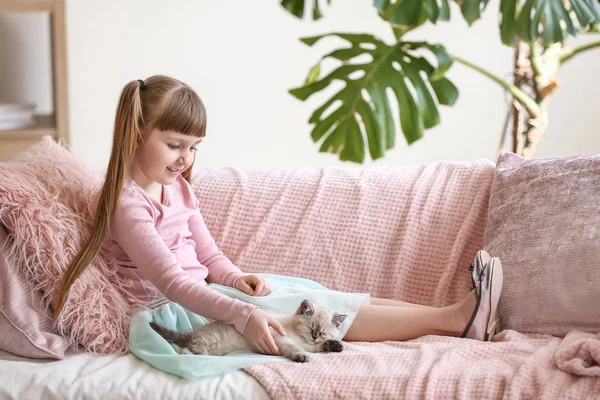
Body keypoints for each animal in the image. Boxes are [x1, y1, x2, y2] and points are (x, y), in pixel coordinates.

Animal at [149, 300, 346, 362]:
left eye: (322, 332)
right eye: (311, 329)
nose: (314, 336)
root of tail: (194, 332)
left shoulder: (310, 345)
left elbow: (318, 348)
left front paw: (334, 345)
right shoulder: (282, 340)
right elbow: (295, 349)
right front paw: (301, 357)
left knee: (187, 347)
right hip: (209, 340)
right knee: (191, 348)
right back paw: (197, 356)